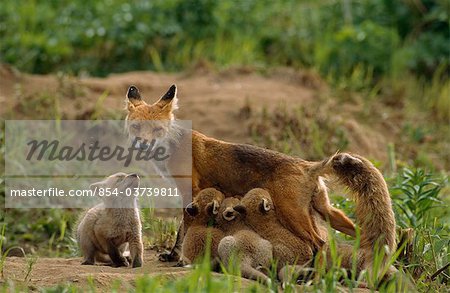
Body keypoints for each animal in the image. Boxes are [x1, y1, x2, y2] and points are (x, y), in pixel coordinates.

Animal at [124, 84, 356, 260]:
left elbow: (184, 229)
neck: (172, 145)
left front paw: (179, 257)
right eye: (136, 128)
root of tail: (308, 165)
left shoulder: (189, 190)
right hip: (326, 213)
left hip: (293, 216)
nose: (143, 145)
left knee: (320, 244)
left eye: (157, 130)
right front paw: (174, 256)